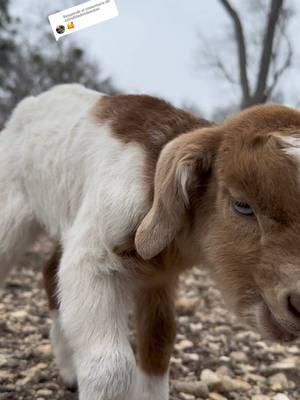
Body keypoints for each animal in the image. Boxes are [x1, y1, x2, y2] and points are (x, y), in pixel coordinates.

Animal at [1, 84, 300, 400]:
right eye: (242, 205)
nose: (298, 301)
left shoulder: (158, 276)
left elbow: (159, 342)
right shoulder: (94, 259)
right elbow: (110, 368)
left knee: (50, 272)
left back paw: (69, 372)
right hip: (11, 207)